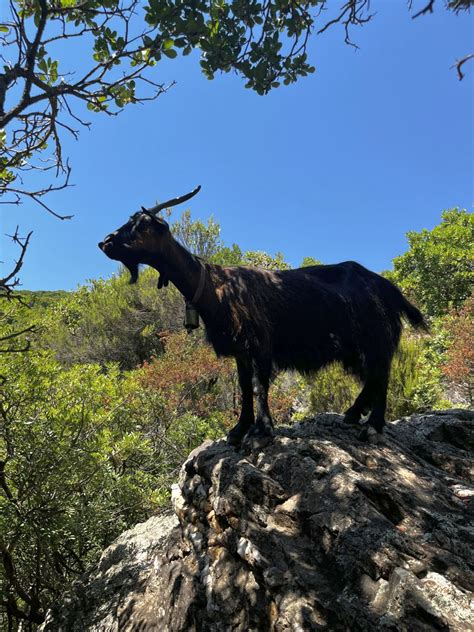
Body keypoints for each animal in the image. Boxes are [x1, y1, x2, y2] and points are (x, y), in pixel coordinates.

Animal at [99, 186, 426, 444]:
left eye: (142, 224)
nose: (106, 242)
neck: (215, 286)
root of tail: (387, 286)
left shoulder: (260, 343)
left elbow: (259, 385)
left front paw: (262, 430)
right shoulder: (240, 350)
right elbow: (245, 387)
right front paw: (238, 429)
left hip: (374, 338)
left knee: (382, 374)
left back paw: (372, 426)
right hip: (355, 348)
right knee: (372, 378)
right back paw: (353, 413)